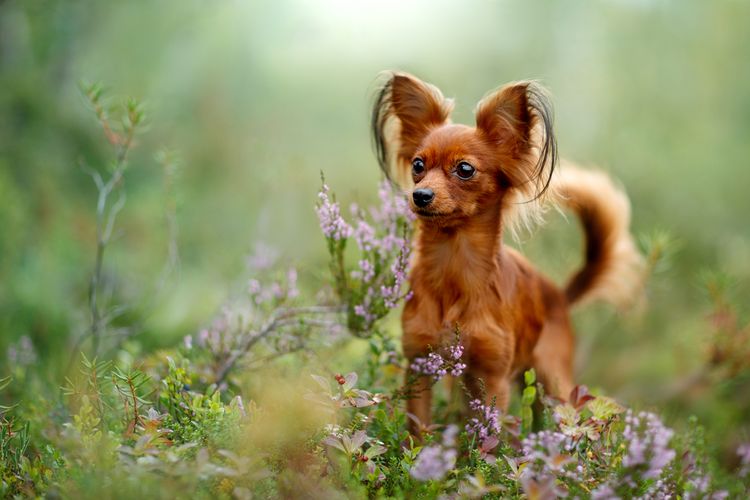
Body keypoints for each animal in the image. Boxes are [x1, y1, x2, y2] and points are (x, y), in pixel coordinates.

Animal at [374, 72, 644, 432]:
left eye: (465, 169)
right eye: (418, 165)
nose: (420, 195)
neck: (453, 263)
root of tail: (558, 294)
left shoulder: (492, 377)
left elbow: (485, 436)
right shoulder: (420, 364)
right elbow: (417, 430)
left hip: (553, 381)